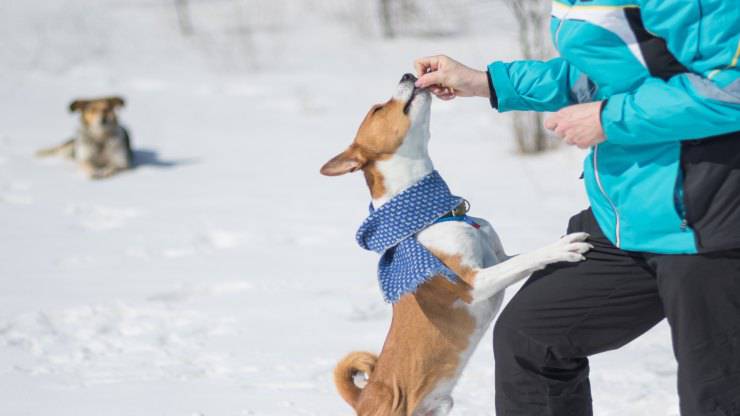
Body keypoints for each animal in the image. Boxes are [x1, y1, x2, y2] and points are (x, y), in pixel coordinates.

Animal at [320, 74, 592, 416]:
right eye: (377, 109)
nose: (408, 75)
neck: (433, 217)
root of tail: (365, 397)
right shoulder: (473, 282)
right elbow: (527, 259)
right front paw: (562, 248)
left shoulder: (497, 258)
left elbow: (521, 258)